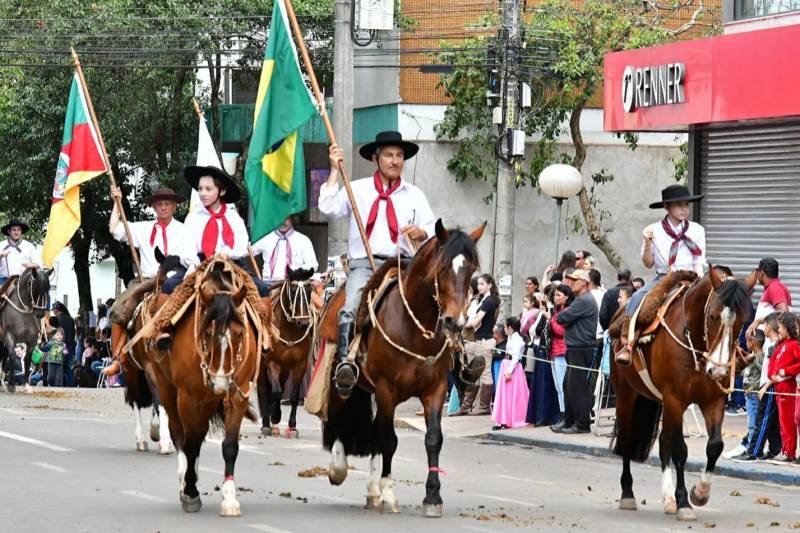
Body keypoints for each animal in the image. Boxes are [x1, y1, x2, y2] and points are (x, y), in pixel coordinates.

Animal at [145, 258, 264, 516]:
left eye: (239, 333)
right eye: (207, 333)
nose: (220, 381)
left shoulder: (238, 394)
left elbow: (229, 446)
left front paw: (229, 499)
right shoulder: (187, 397)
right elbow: (189, 444)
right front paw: (190, 492)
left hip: (209, 400)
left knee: (198, 434)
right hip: (167, 387)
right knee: (180, 433)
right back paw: (184, 478)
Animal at [258, 266, 318, 436]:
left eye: (309, 290)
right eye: (292, 291)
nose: (303, 323)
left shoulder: (300, 365)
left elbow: (293, 394)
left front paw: (292, 426)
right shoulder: (272, 362)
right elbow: (276, 392)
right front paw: (275, 416)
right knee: (264, 390)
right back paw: (267, 423)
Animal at [318, 219, 482, 516]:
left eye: (471, 269)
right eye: (443, 268)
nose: (455, 322)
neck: (415, 327)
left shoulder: (436, 389)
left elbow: (433, 439)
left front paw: (432, 497)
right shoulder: (386, 390)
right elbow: (389, 441)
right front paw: (389, 493)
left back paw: (372, 491)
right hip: (344, 380)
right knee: (338, 413)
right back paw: (338, 468)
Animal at [612, 266, 756, 520]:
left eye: (742, 321)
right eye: (713, 316)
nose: (719, 370)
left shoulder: (713, 400)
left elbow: (715, 445)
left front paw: (699, 493)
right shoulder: (675, 399)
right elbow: (680, 450)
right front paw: (684, 503)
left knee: (663, 442)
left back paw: (668, 498)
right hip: (627, 394)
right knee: (628, 438)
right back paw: (628, 494)